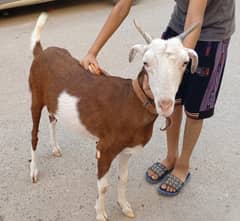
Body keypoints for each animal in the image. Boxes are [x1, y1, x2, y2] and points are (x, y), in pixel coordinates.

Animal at [29, 12, 199, 221]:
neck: (133, 102)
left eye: (185, 63)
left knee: (53, 118)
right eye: (146, 62)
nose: (165, 104)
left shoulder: (127, 149)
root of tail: (41, 53)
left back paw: (55, 148)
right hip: (35, 97)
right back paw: (34, 171)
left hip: (53, 102)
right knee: (34, 135)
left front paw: (124, 206)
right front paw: (101, 213)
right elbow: (103, 186)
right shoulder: (104, 148)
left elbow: (123, 178)